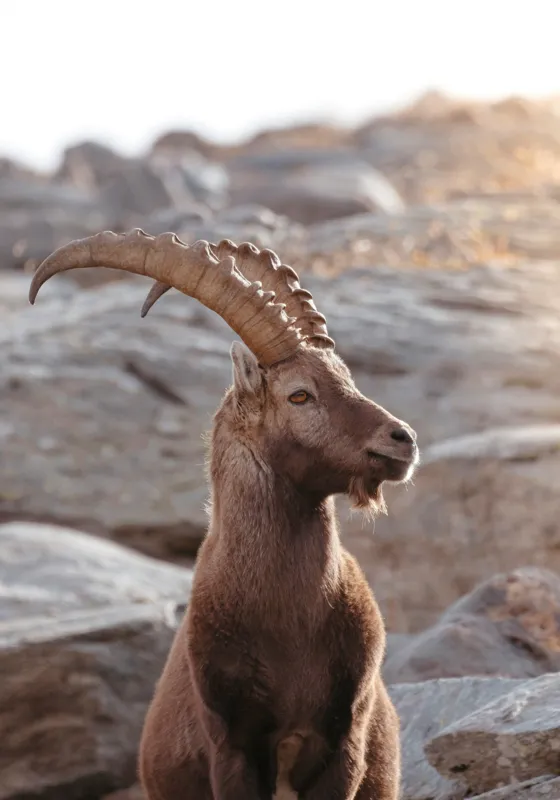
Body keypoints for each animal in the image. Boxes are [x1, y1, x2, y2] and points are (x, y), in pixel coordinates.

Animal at [29, 229, 419, 799]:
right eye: (299, 395)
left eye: (346, 379)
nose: (402, 439)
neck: (289, 621)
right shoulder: (232, 745)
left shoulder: (343, 743)